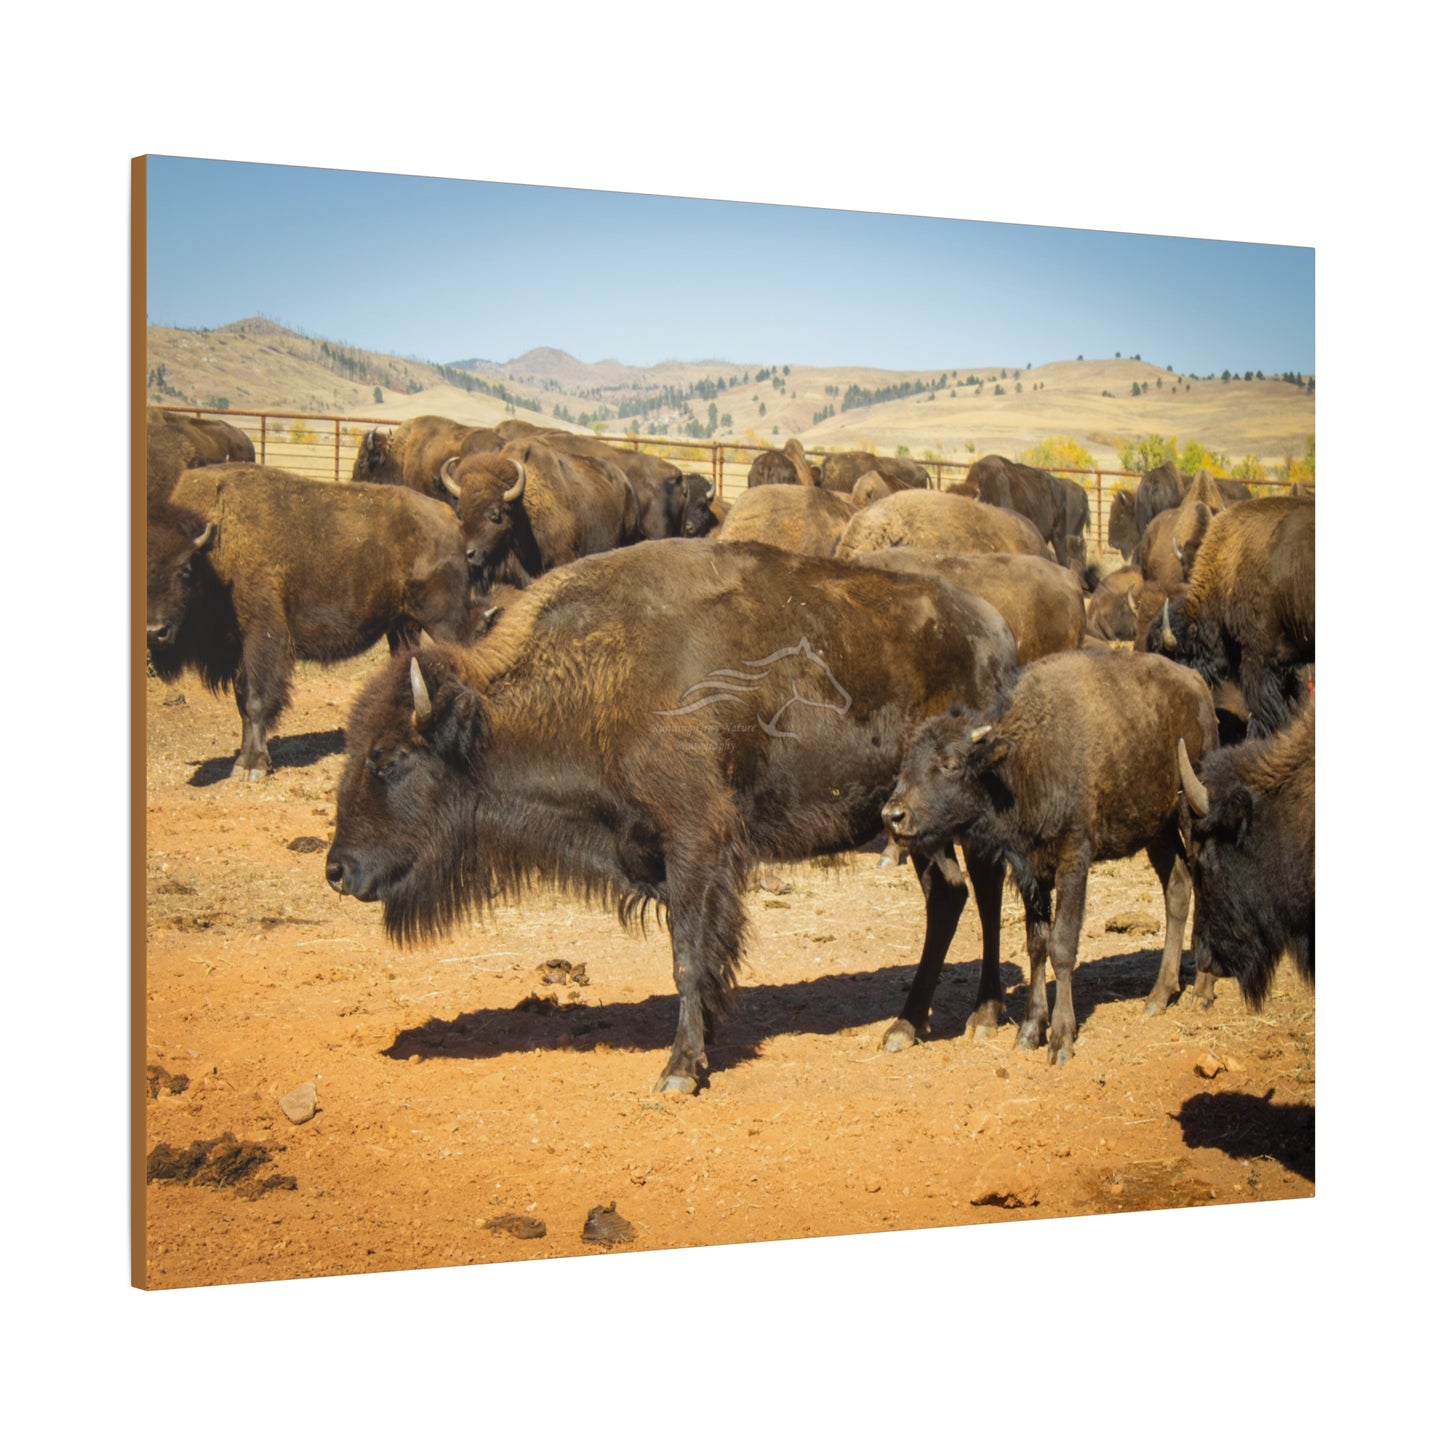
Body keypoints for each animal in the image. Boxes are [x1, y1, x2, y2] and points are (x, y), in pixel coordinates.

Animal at [148, 464, 477, 780]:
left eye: (185, 567)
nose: (155, 632)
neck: (217, 546)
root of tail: (450, 518)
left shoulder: (262, 639)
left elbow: (255, 700)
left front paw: (253, 766)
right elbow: (242, 703)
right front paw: (244, 761)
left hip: (444, 623)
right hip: (402, 627)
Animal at [325, 538, 1020, 1093]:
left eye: (389, 759)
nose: (337, 870)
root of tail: (997, 631)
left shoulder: (695, 844)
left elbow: (688, 955)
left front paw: (680, 1070)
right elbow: (700, 957)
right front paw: (704, 1039)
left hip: (965, 819)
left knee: (983, 892)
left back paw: (982, 1017)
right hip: (915, 826)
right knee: (949, 896)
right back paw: (906, 1025)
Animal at [882, 650, 1221, 1062]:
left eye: (950, 764)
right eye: (906, 764)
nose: (893, 815)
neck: (1024, 760)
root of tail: (1196, 684)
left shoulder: (1073, 859)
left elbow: (1062, 944)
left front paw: (1061, 1039)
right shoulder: (1031, 870)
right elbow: (1037, 944)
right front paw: (1030, 1030)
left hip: (1191, 812)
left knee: (1204, 884)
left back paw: (1202, 990)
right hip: (1158, 829)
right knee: (1177, 889)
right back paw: (1158, 995)